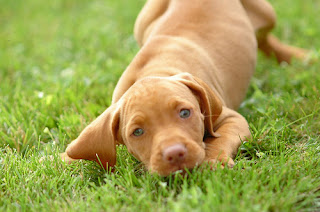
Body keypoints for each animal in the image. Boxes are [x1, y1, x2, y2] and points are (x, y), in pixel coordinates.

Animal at [60, 0, 308, 176]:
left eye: (185, 113)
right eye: (137, 132)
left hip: (266, 12)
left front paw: (213, 161)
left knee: (264, 37)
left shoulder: (231, 118)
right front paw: (61, 158)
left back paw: (297, 57)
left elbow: (219, 138)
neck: (155, 70)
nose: (175, 154)